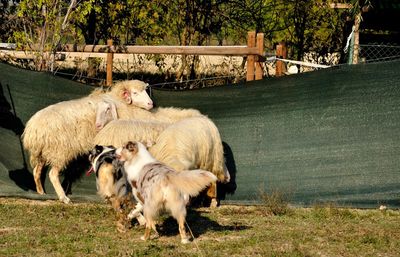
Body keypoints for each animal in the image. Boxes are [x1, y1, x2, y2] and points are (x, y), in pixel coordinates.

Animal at [21, 79, 153, 203]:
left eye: (146, 91)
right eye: (135, 93)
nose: (150, 104)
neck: (119, 101)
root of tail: (33, 129)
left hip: (44, 152)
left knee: (36, 171)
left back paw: (41, 193)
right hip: (60, 150)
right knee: (52, 174)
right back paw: (63, 198)